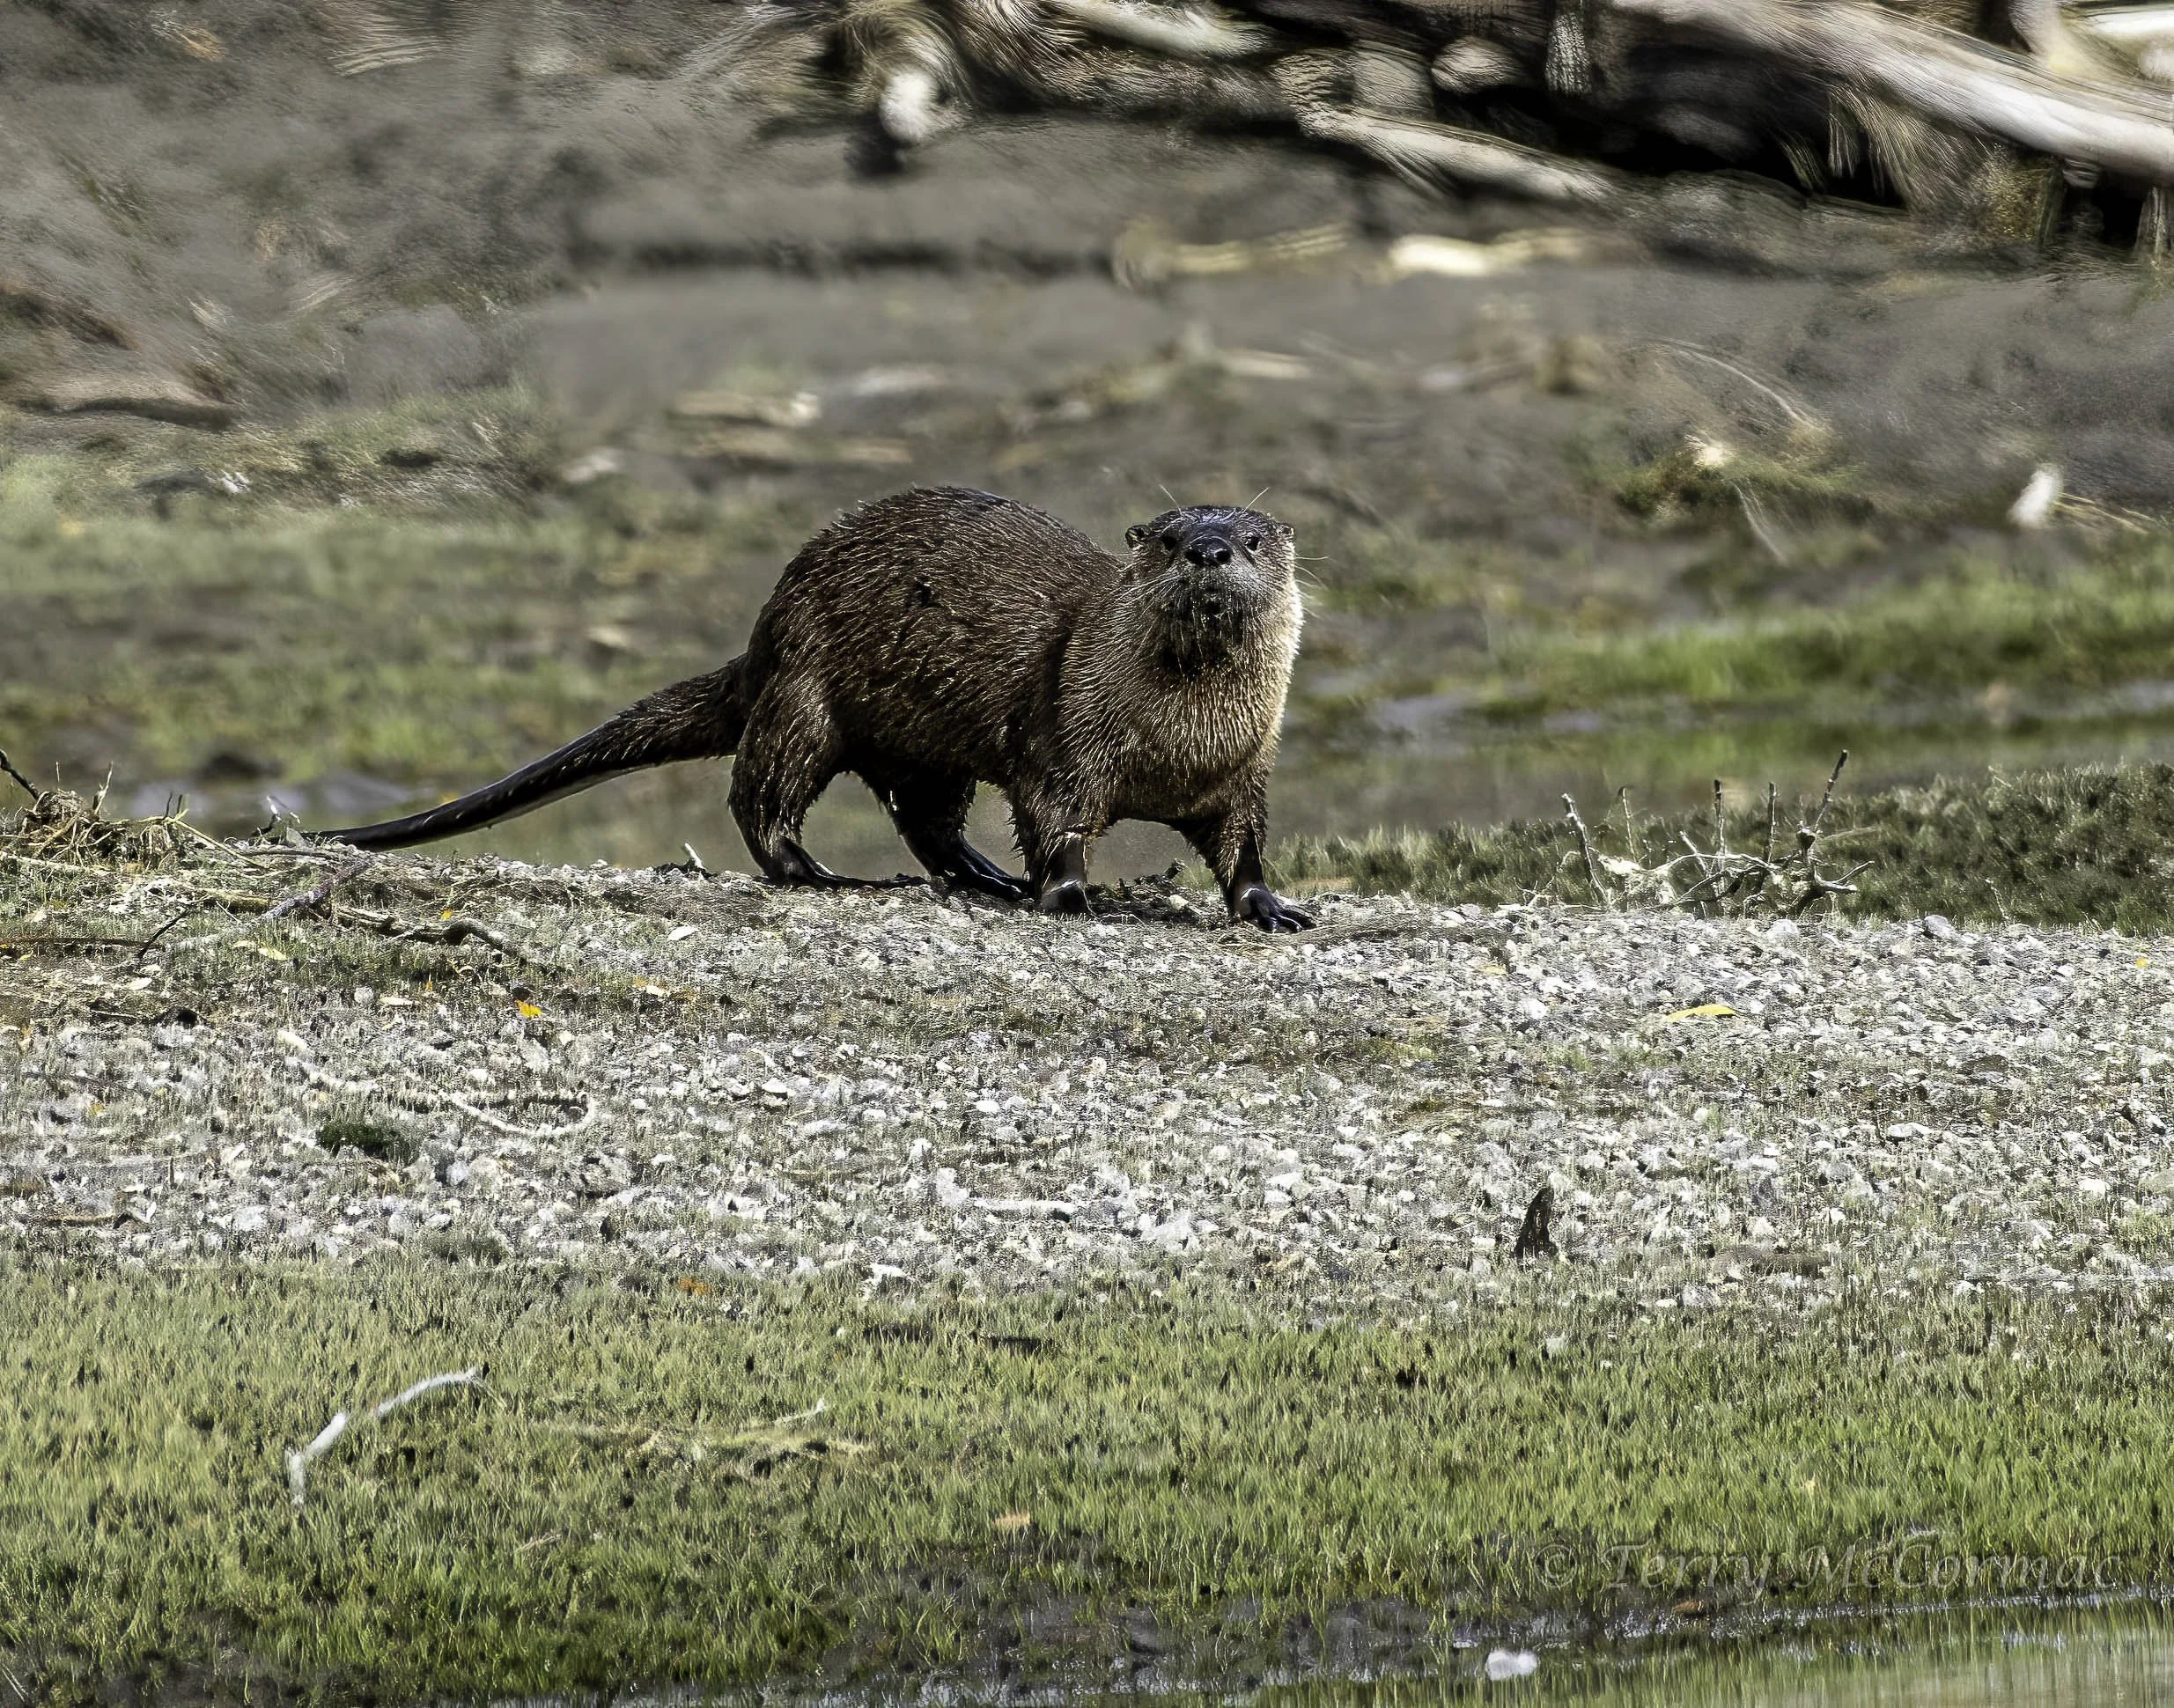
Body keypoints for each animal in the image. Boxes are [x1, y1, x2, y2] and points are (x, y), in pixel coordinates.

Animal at [322, 485, 1316, 931]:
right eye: (1171, 540)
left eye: (1251, 538)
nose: (1212, 550)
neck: (1174, 745)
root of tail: (765, 627)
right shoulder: (1064, 742)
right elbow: (1053, 820)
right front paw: (1070, 894)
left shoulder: (1246, 771)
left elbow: (1244, 845)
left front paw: (1270, 907)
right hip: (805, 693)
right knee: (762, 795)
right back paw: (827, 874)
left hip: (924, 743)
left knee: (926, 819)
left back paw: (982, 878)